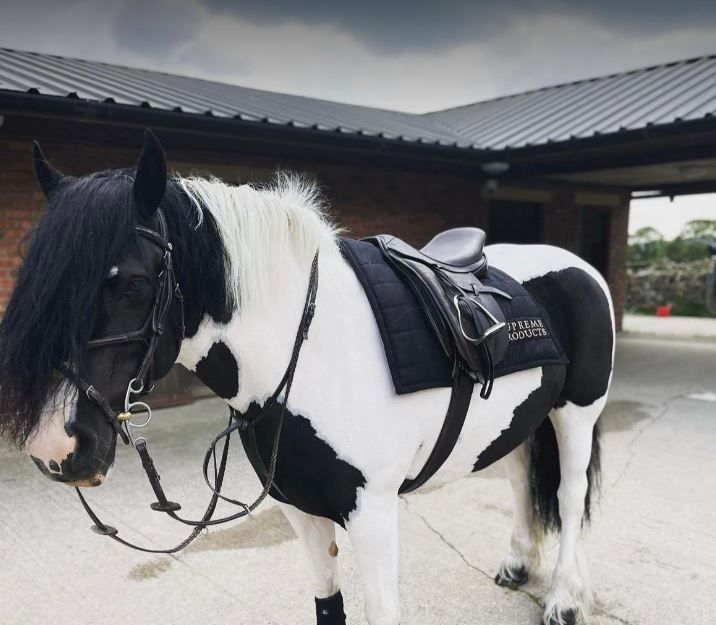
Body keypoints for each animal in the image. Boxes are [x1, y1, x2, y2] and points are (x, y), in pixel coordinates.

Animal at [0, 130, 614, 625]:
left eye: (131, 283)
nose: (56, 447)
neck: (312, 352)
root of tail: (578, 266)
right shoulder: (300, 510)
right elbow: (327, 608)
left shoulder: (372, 515)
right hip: (523, 417)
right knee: (520, 480)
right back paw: (517, 564)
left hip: (575, 415)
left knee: (568, 496)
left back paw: (564, 598)